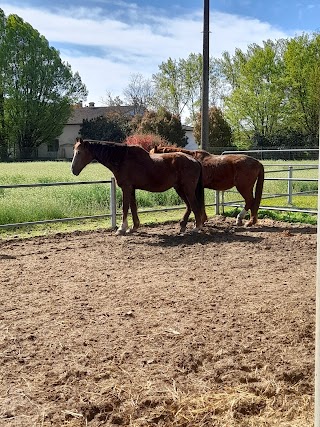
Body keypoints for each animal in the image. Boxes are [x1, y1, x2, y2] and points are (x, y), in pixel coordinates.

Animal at [71, 139, 206, 234]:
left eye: (79, 152)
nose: (73, 170)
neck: (123, 159)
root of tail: (195, 161)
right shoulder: (131, 189)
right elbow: (133, 207)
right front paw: (133, 227)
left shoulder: (126, 188)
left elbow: (125, 208)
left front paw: (121, 228)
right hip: (179, 189)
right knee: (189, 206)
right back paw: (184, 226)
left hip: (187, 189)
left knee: (194, 205)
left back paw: (196, 227)